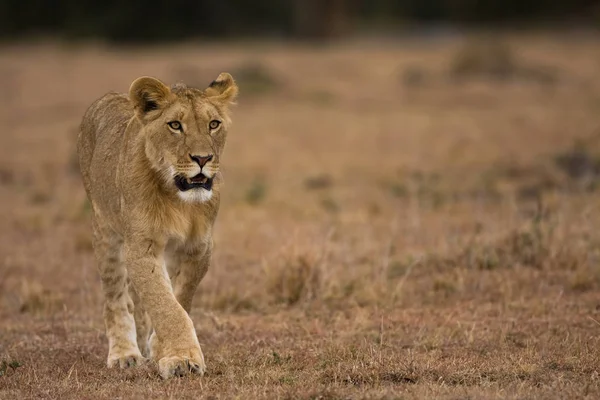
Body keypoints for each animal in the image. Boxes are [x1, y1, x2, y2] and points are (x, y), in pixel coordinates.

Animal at [77, 72, 239, 378]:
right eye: (175, 125)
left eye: (214, 124)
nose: (203, 159)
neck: (180, 201)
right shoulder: (141, 245)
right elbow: (165, 304)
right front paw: (181, 359)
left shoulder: (198, 248)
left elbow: (178, 298)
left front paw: (163, 349)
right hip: (105, 231)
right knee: (116, 297)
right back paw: (124, 354)